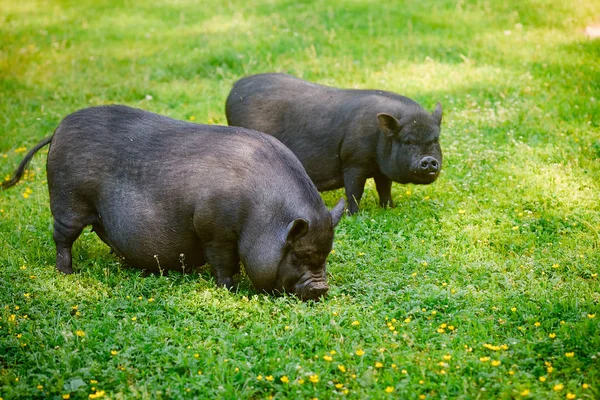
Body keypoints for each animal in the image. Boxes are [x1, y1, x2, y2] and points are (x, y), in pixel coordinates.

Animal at [1, 104, 342, 302]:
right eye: (298, 255)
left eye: (325, 255)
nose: (321, 288)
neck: (261, 214)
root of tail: (58, 129)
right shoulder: (214, 230)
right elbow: (224, 263)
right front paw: (229, 289)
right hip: (68, 200)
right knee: (62, 238)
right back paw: (67, 273)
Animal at [227, 73, 442, 214]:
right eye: (408, 141)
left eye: (435, 139)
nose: (429, 161)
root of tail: (235, 88)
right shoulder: (354, 162)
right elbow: (354, 190)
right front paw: (354, 215)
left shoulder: (381, 169)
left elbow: (384, 188)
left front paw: (389, 208)